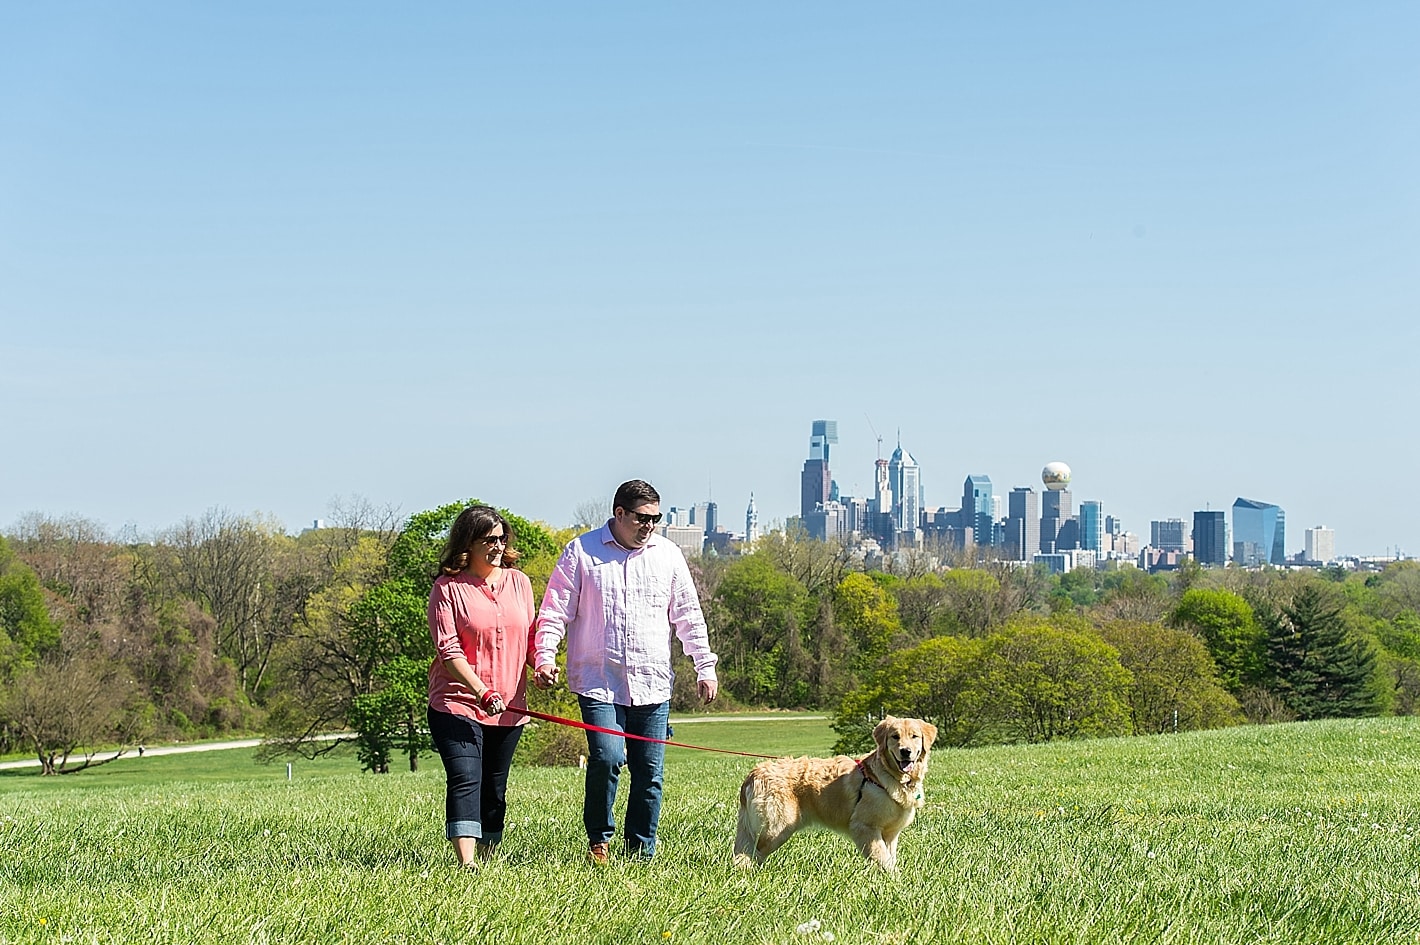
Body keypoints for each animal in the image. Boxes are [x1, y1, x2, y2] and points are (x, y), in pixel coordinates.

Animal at [732, 716, 942, 869]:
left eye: (914, 736)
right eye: (895, 736)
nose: (905, 751)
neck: (888, 776)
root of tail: (754, 773)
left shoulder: (890, 834)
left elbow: (889, 857)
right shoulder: (865, 826)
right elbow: (882, 858)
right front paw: (894, 880)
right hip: (776, 828)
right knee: (751, 853)